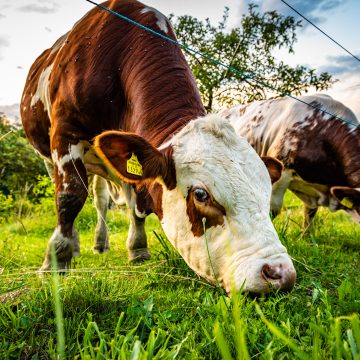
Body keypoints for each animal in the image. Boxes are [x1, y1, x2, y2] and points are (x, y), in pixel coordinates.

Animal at [19, 0, 296, 294]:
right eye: (201, 195)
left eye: (267, 191)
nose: (279, 273)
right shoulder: (65, 133)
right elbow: (69, 197)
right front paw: (56, 261)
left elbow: (136, 203)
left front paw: (138, 249)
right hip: (48, 155)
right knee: (74, 194)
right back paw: (72, 246)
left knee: (102, 198)